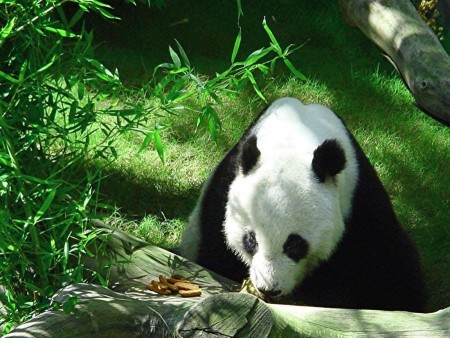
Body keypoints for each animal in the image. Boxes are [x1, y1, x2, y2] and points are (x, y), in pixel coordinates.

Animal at [178, 97, 426, 312]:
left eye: (295, 244)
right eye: (251, 240)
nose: (269, 289)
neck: (295, 135)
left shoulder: (359, 202)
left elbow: (384, 271)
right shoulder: (223, 196)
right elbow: (215, 255)